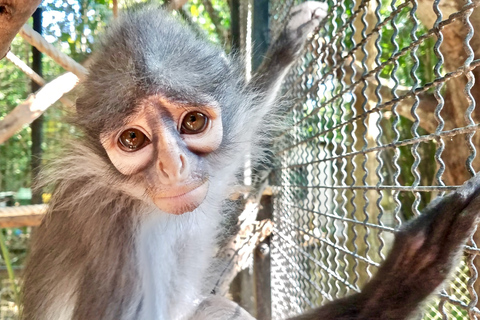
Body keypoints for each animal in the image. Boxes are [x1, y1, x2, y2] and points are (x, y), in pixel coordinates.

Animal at [19, 2, 480, 320]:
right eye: (133, 139)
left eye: (193, 122)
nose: (173, 166)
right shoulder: (115, 233)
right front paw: (391, 290)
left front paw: (288, 42)